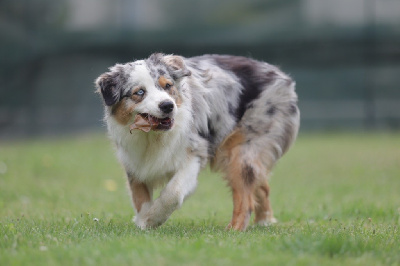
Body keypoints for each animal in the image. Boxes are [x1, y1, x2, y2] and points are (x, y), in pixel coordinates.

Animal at [95, 53, 298, 231]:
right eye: (139, 92)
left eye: (168, 86)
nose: (168, 106)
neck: (153, 137)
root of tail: (281, 75)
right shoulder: (135, 163)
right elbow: (140, 199)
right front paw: (143, 221)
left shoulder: (195, 153)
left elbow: (173, 193)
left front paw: (152, 219)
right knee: (261, 186)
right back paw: (264, 222)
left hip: (240, 151)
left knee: (246, 198)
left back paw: (233, 231)